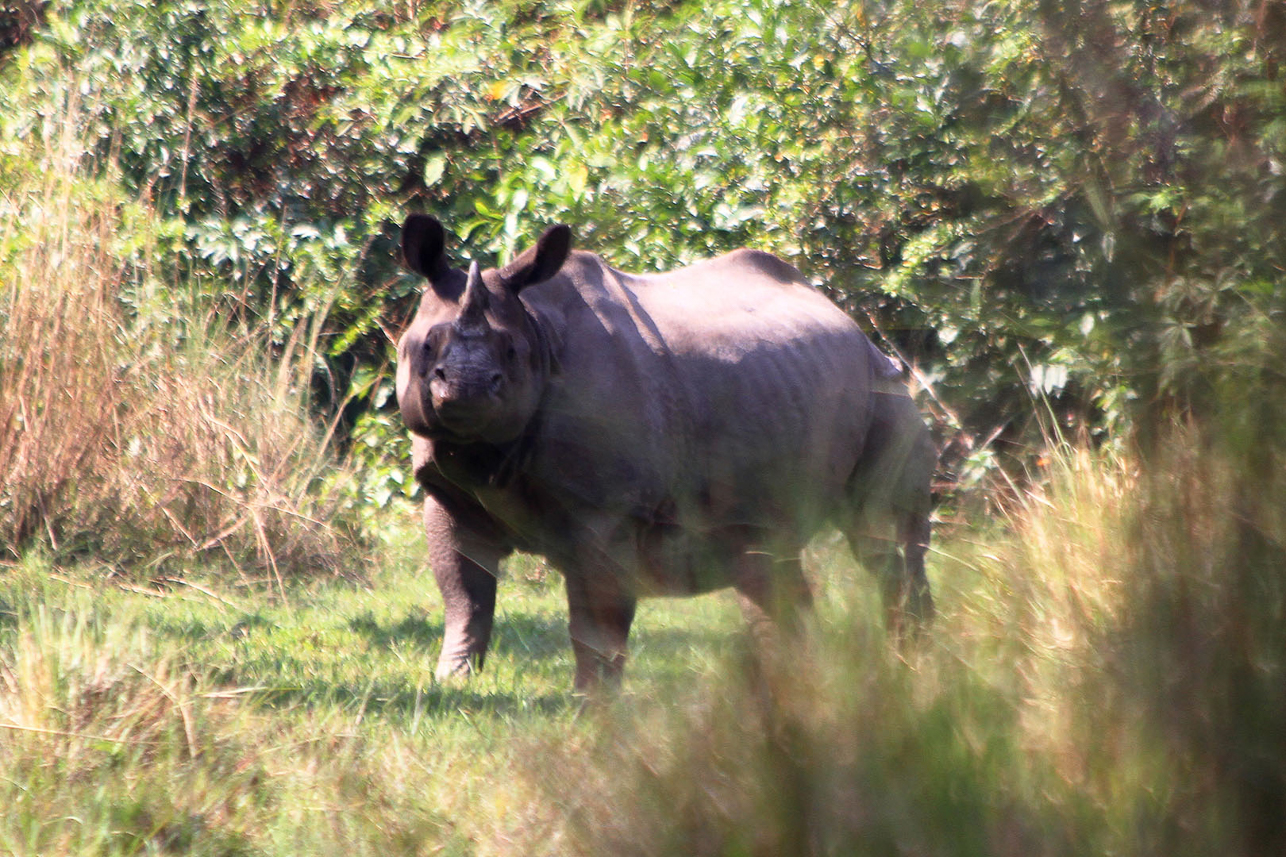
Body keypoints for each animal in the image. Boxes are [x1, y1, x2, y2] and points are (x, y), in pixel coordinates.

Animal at [393, 213, 936, 689]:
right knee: (765, 554)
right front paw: (453, 681)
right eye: (424, 348)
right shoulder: (448, 490)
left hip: (884, 386)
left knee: (881, 536)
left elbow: (596, 616)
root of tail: (850, 321)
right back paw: (802, 678)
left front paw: (592, 704)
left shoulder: (605, 508)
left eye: (511, 353)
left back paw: (913, 665)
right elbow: (464, 593)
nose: (466, 388)